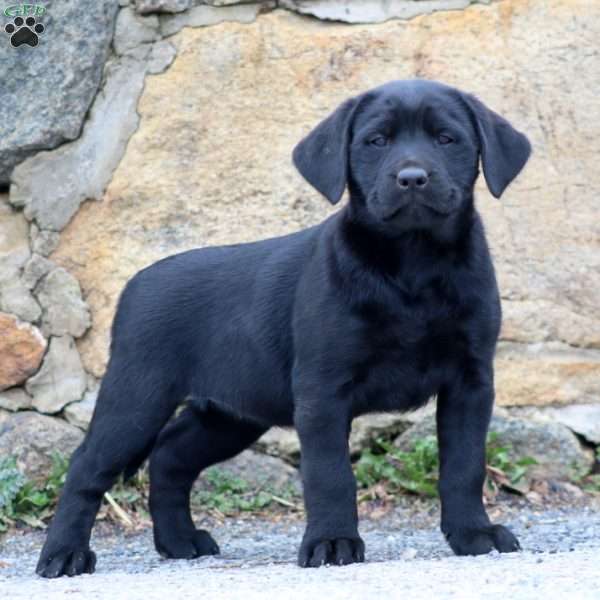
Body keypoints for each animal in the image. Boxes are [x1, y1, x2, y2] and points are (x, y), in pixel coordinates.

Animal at [36, 79, 528, 576]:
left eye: (447, 139)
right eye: (376, 141)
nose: (411, 178)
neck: (414, 264)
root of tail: (135, 283)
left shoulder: (470, 382)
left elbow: (464, 465)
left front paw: (474, 534)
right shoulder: (322, 389)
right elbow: (330, 474)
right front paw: (332, 542)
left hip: (230, 413)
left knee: (171, 456)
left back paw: (179, 541)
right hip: (138, 396)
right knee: (86, 467)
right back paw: (63, 553)